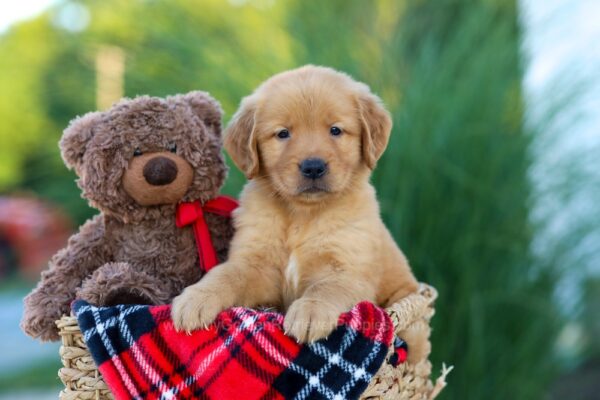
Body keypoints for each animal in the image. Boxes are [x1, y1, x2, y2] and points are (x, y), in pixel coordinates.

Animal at [173, 65, 426, 360]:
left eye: (335, 130)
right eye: (283, 134)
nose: (313, 167)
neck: (302, 215)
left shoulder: (350, 270)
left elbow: (326, 287)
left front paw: (310, 311)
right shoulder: (257, 266)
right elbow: (226, 274)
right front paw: (196, 298)